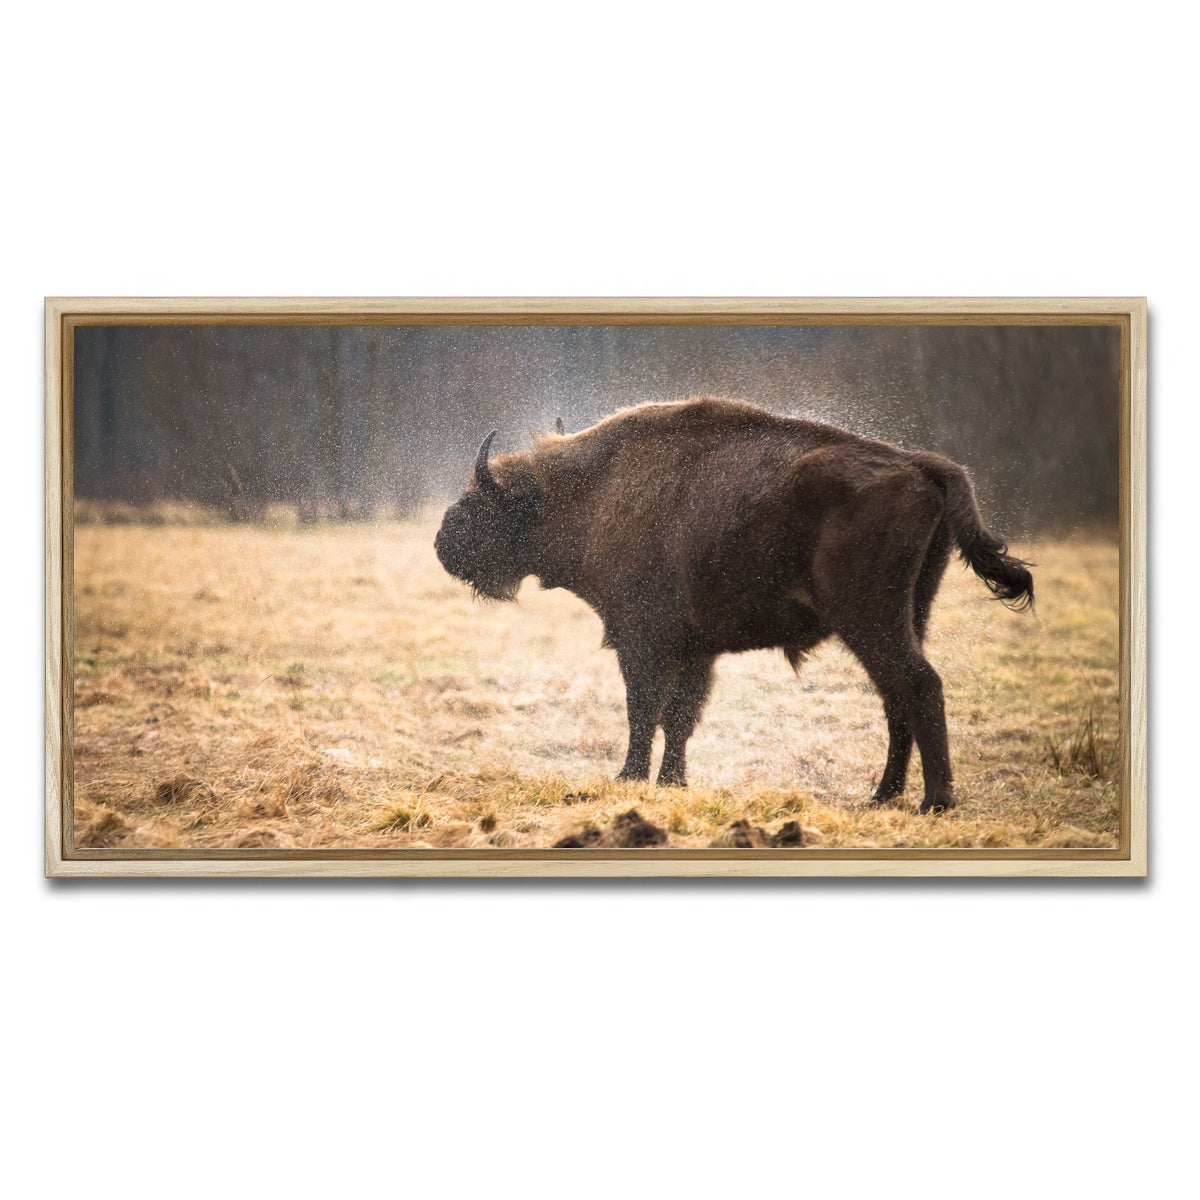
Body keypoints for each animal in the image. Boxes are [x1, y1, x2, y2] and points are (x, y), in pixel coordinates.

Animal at [434, 397, 1032, 813]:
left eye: (480, 501)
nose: (442, 542)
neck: (593, 490)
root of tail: (919, 464)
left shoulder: (643, 639)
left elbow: (644, 710)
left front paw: (629, 779)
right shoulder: (695, 650)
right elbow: (680, 717)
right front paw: (672, 782)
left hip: (869, 618)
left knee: (918, 685)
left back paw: (934, 802)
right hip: (911, 612)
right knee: (896, 697)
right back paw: (882, 797)